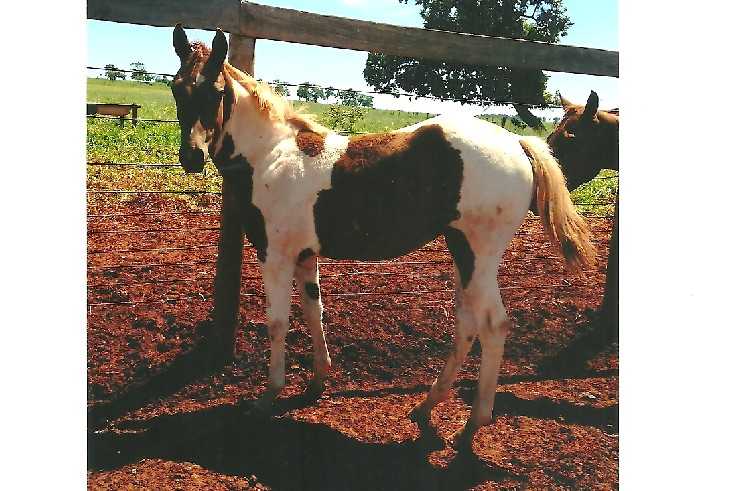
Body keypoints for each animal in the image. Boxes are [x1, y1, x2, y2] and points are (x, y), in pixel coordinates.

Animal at [170, 25, 596, 450]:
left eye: (217, 91)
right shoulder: (305, 256)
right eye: (177, 88)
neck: (270, 154)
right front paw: (316, 382)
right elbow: (313, 312)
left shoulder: (274, 256)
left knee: (493, 325)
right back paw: (426, 407)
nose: (191, 157)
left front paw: (267, 397)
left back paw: (472, 424)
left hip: (477, 252)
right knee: (467, 323)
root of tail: (519, 144)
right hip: (463, 254)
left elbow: (277, 323)